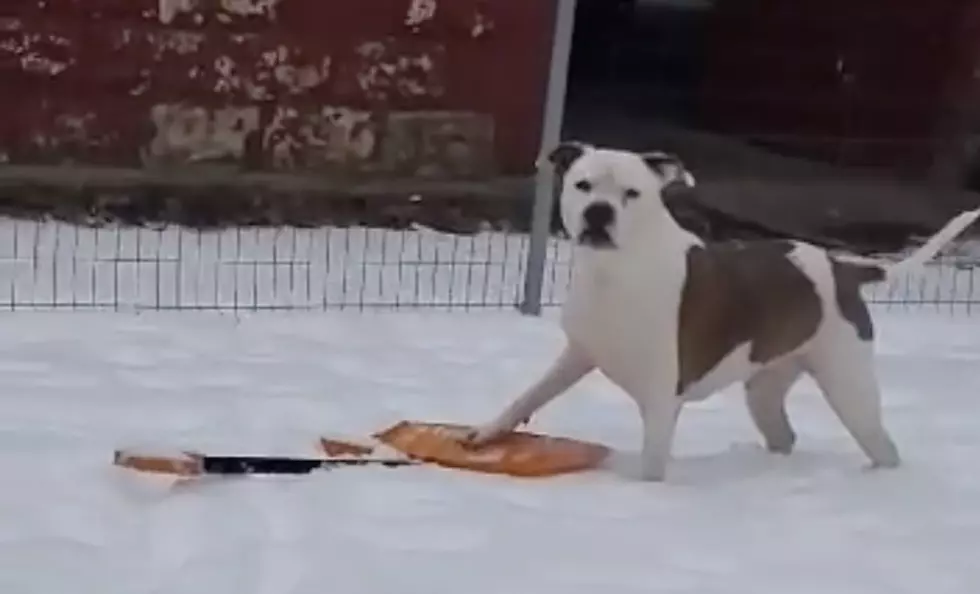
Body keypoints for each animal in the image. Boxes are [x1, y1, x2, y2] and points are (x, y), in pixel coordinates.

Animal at [466, 141, 980, 478]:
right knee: (783, 433)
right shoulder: (579, 354)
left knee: (881, 443)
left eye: (632, 192)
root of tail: (842, 268)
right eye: (583, 184)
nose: (598, 213)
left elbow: (652, 464)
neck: (618, 272)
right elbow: (528, 396)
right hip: (767, 389)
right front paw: (485, 434)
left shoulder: (661, 397)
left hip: (849, 385)